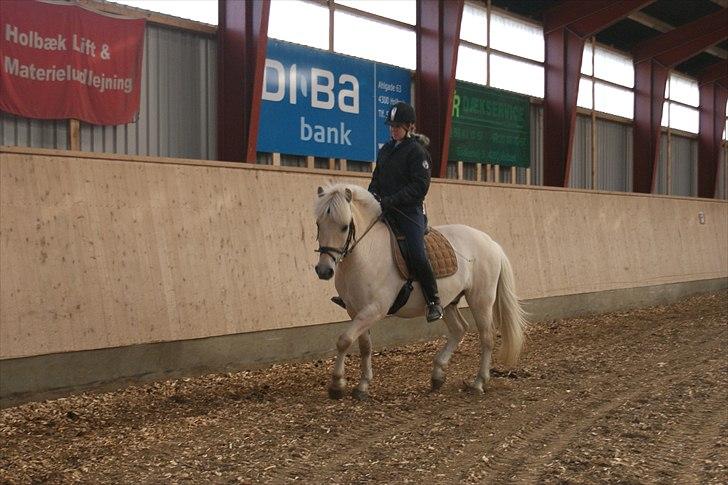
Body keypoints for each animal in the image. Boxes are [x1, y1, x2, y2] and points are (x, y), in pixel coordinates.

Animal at [312, 183, 528, 398]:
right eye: (318, 224)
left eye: (344, 226)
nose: (324, 270)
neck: (366, 253)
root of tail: (491, 242)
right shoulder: (355, 310)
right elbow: (364, 346)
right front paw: (362, 385)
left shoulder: (375, 309)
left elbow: (344, 340)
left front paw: (337, 385)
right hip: (448, 302)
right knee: (459, 328)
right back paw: (438, 375)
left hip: (481, 300)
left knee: (487, 337)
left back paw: (478, 382)